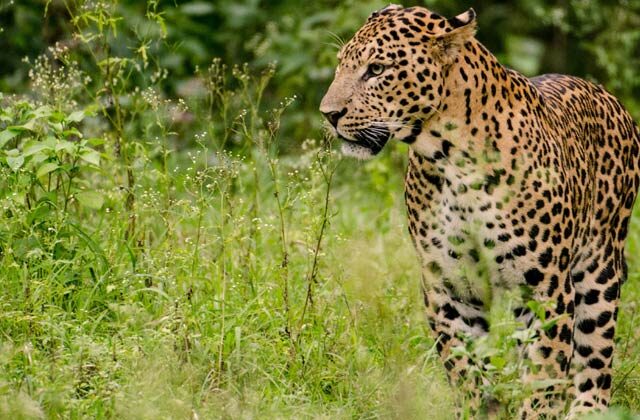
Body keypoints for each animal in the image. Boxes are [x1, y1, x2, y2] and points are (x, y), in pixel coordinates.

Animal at [320, 4, 640, 419]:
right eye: (341, 64)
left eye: (376, 69)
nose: (329, 114)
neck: (450, 160)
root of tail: (607, 95)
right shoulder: (449, 287)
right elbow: (466, 369)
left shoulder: (545, 289)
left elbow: (543, 375)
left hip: (598, 269)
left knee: (595, 361)